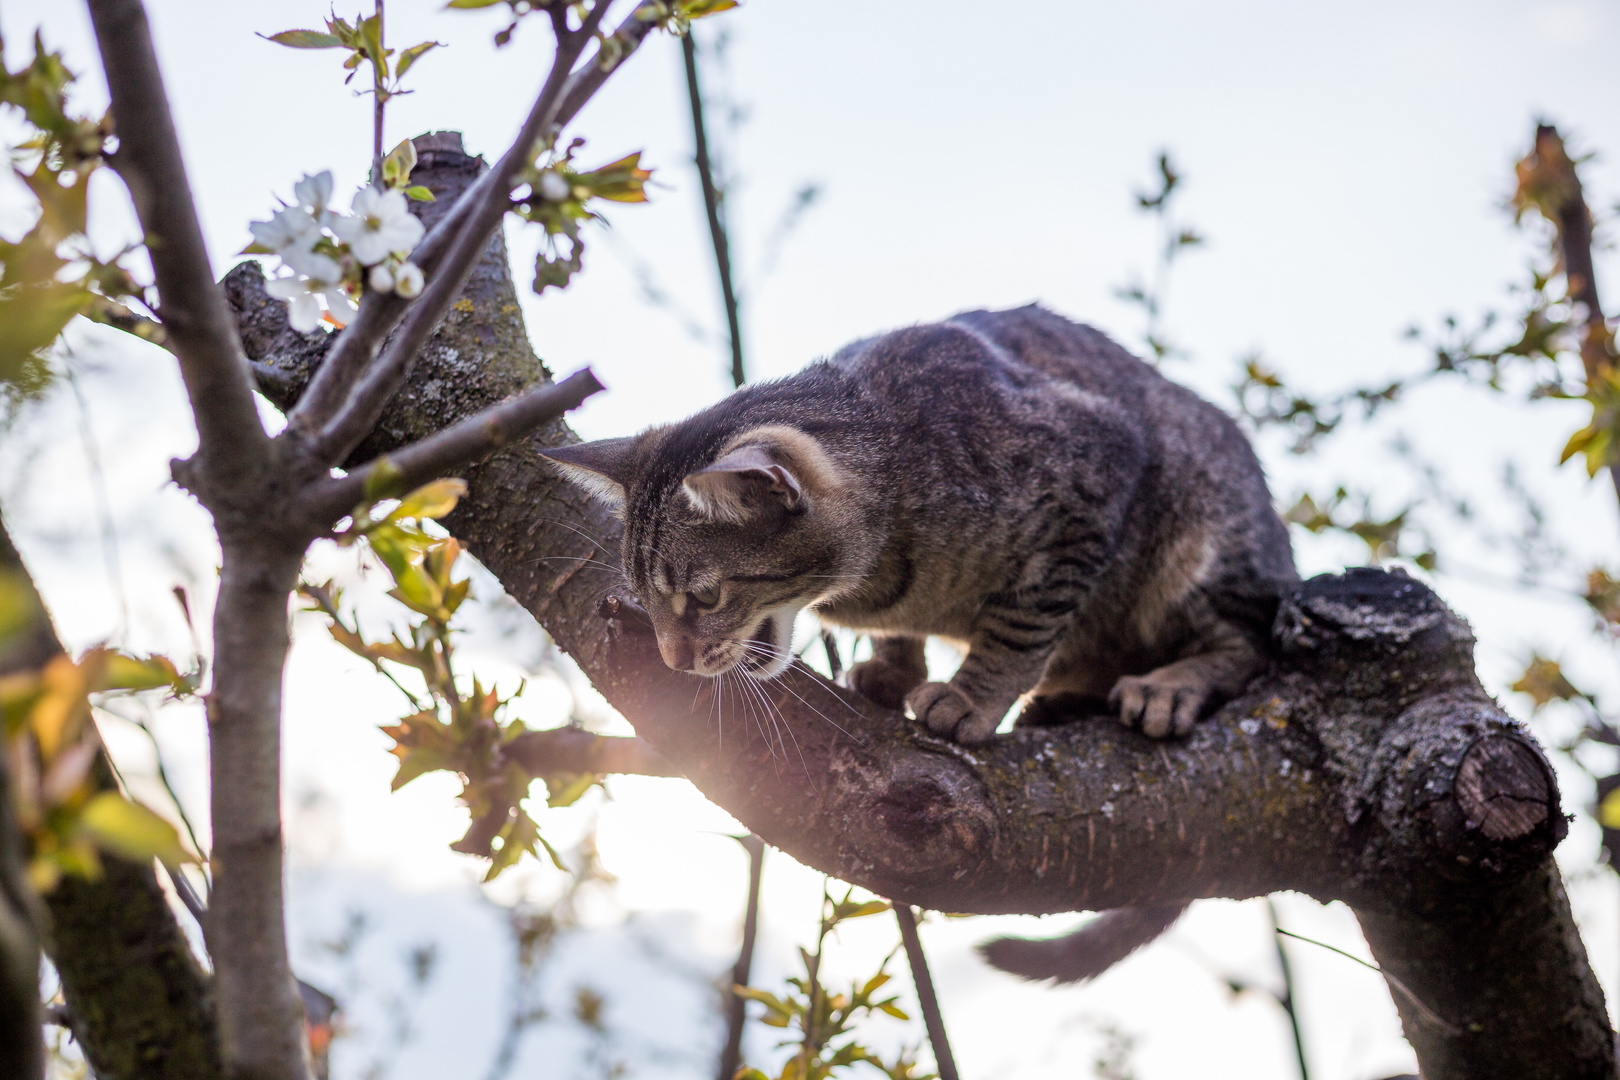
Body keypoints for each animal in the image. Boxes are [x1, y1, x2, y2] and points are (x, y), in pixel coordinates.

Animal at [544, 306, 1289, 990]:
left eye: (701, 598)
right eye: (645, 598)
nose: (673, 657)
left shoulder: (1086, 476)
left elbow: (1021, 625)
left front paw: (970, 698)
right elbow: (903, 631)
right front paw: (892, 669)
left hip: (1203, 534)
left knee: (1247, 640)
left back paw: (1168, 685)